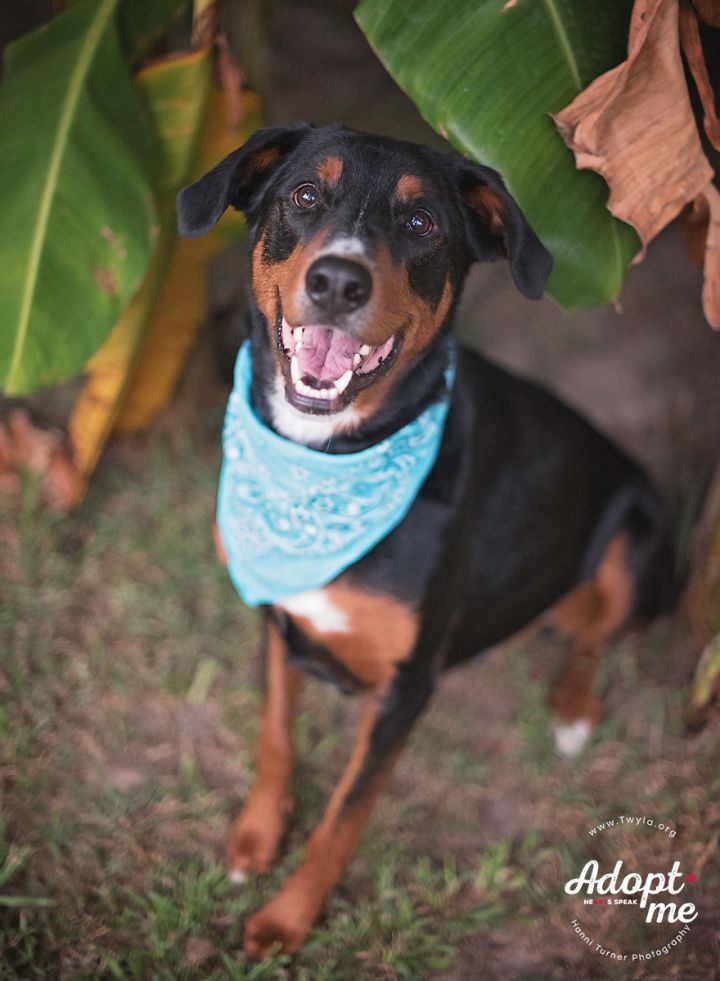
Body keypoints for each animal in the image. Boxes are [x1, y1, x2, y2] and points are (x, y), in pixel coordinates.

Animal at [177, 124, 676, 956]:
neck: (324, 460)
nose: (337, 281)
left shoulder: (408, 689)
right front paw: (255, 837)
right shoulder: (279, 616)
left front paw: (286, 919)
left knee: (595, 632)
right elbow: (276, 737)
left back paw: (573, 708)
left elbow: (343, 819)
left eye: (421, 224)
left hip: (639, 539)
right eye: (304, 194)